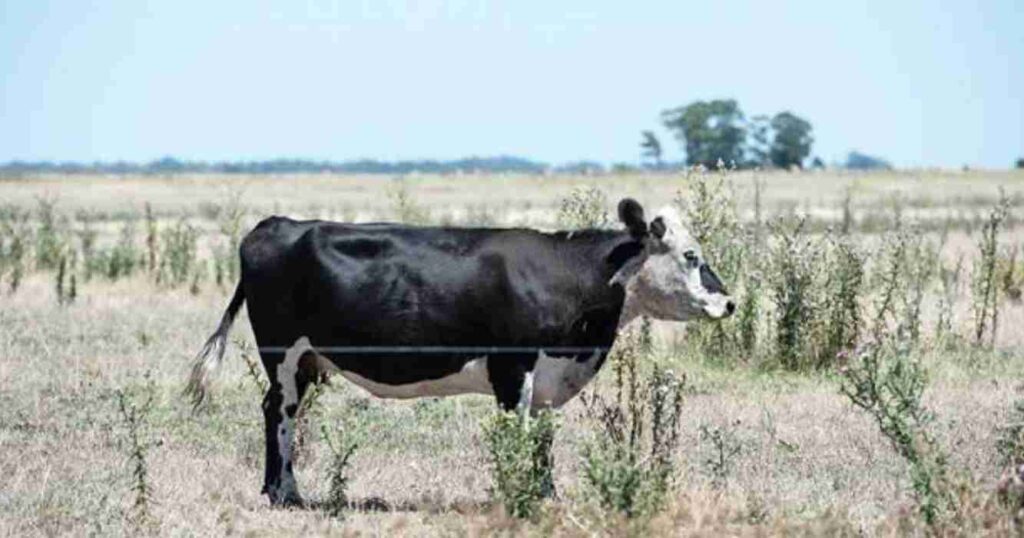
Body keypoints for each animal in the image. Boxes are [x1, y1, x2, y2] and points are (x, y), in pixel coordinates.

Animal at [184, 196, 729, 504]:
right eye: (691, 256)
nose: (730, 301)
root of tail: (275, 224)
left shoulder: (547, 377)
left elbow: (543, 440)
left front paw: (546, 495)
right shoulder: (512, 367)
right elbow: (516, 434)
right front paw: (516, 491)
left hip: (304, 359)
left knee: (275, 409)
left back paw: (278, 490)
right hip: (282, 352)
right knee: (280, 411)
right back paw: (286, 493)